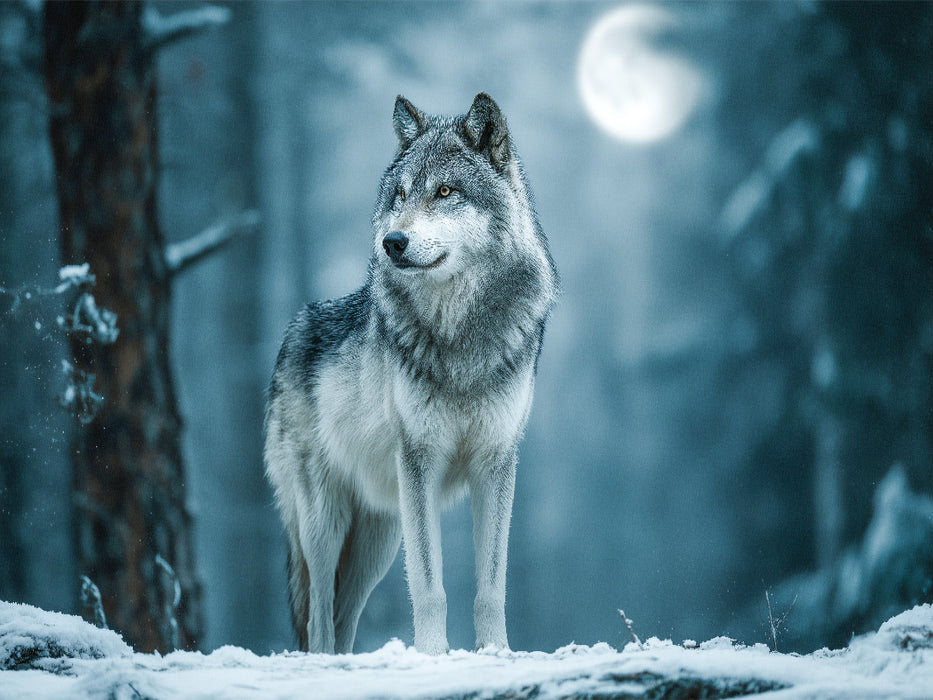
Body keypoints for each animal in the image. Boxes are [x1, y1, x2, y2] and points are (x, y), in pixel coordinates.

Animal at [264, 93, 557, 655]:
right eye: (399, 195)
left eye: (444, 191)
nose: (392, 242)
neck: (461, 334)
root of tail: (293, 329)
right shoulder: (420, 459)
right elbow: (429, 588)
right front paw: (432, 656)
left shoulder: (496, 462)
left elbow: (491, 588)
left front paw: (496, 653)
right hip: (325, 523)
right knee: (319, 619)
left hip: (379, 538)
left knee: (343, 618)